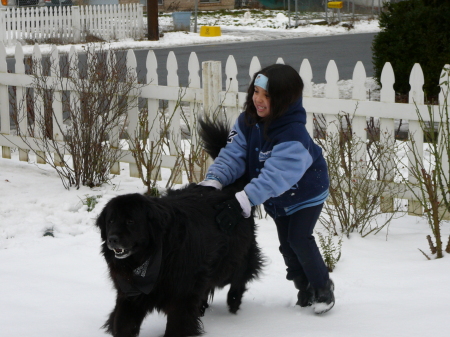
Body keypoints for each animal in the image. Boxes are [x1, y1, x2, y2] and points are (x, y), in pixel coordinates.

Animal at [95, 117, 264, 336]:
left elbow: (177, 326)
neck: (151, 256)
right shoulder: (129, 296)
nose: (112, 239)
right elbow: (123, 323)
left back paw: (233, 302)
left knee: (240, 275)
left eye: (131, 221)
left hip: (231, 259)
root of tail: (231, 191)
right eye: (111, 221)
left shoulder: (181, 297)